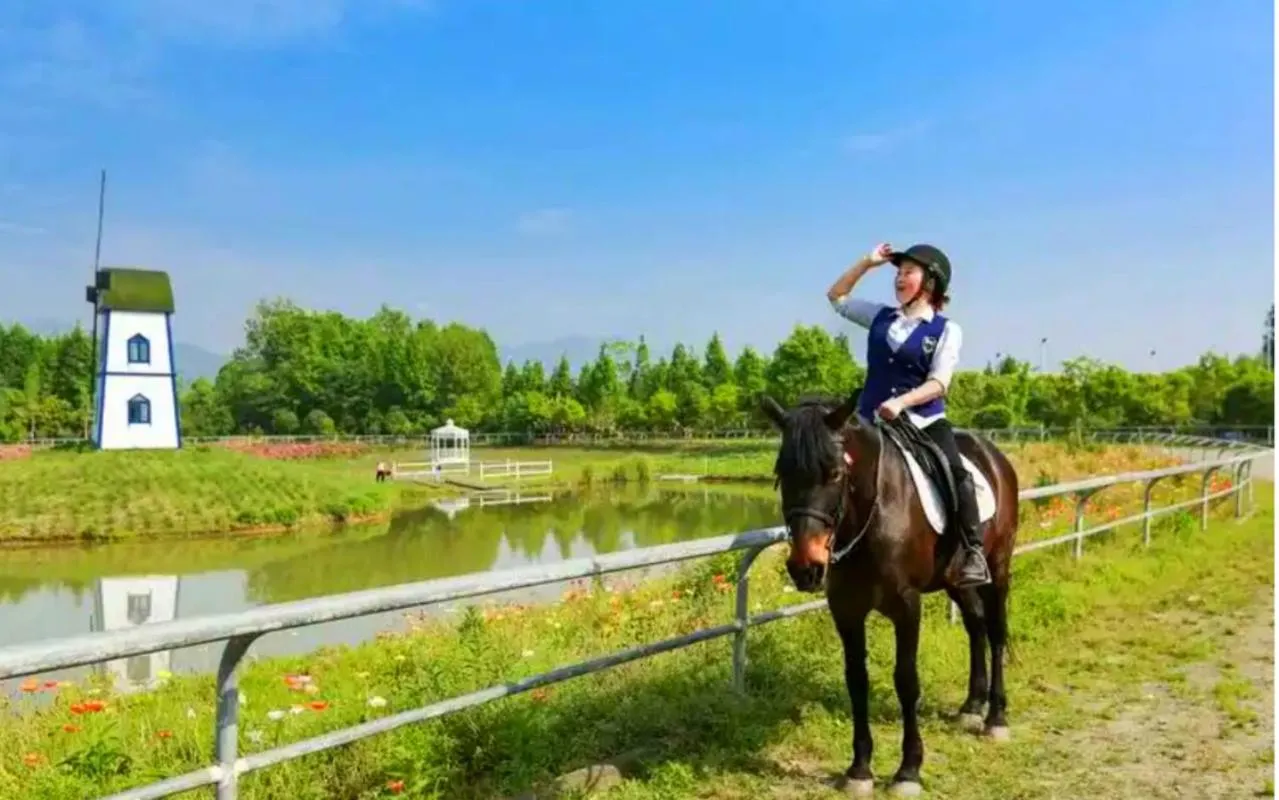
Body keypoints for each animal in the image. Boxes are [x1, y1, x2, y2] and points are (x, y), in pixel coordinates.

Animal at [760, 392, 1020, 797]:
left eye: (835, 473)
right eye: (781, 473)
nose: (806, 567)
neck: (874, 510)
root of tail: (994, 455)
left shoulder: (906, 606)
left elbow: (906, 680)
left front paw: (909, 770)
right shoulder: (846, 609)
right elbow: (856, 680)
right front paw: (859, 769)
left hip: (999, 566)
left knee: (994, 632)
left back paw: (996, 717)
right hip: (955, 580)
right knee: (976, 625)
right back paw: (972, 706)